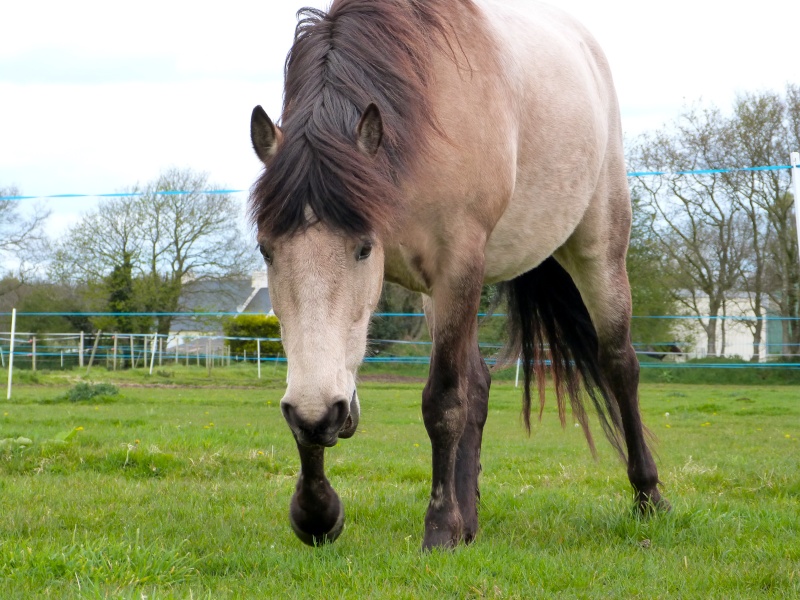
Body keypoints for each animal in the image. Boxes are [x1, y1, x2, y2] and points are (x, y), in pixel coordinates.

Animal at [248, 0, 668, 548]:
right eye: (266, 250)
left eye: (363, 249)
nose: (320, 414)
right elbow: (323, 394)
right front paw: (317, 513)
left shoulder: (457, 265)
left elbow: (444, 401)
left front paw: (440, 527)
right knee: (481, 384)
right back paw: (471, 516)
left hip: (597, 248)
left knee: (619, 364)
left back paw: (647, 496)